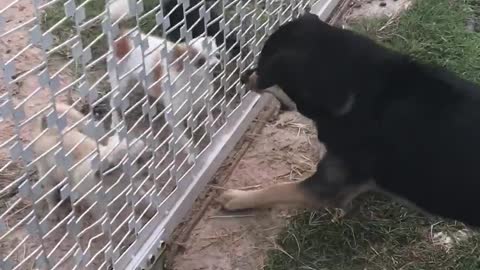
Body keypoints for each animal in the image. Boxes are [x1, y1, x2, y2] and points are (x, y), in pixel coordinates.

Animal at [219, 12, 480, 228]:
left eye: (262, 68)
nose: (243, 76)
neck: (358, 87)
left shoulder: (327, 186)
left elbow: (277, 189)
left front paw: (238, 198)